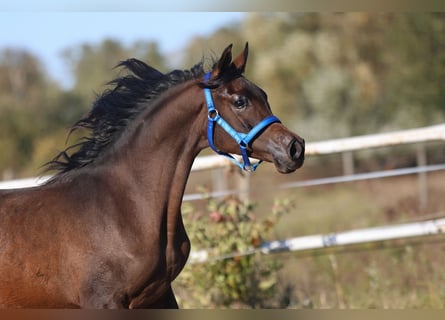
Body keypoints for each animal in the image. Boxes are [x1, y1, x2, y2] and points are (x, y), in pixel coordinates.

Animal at [0, 43, 304, 308]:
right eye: (240, 101)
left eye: (264, 95)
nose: (295, 148)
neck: (124, 209)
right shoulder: (104, 302)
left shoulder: (159, 295)